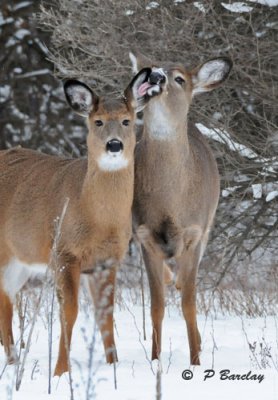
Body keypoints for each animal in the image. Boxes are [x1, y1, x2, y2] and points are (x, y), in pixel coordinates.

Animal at [0, 67, 156, 376]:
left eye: (127, 120)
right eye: (97, 122)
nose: (114, 144)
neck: (97, 219)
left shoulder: (106, 261)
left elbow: (105, 313)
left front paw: (113, 365)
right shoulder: (64, 251)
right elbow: (68, 311)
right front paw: (61, 370)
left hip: (19, 262)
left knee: (7, 301)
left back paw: (13, 362)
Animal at [130, 52, 232, 366]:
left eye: (179, 78)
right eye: (148, 69)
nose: (156, 76)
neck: (169, 201)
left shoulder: (194, 234)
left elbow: (189, 303)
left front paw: (195, 360)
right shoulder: (144, 237)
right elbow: (156, 306)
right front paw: (155, 359)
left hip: (208, 228)